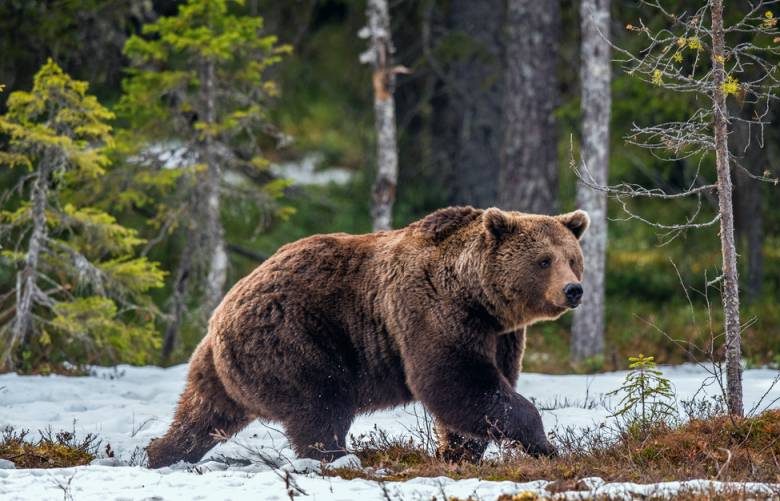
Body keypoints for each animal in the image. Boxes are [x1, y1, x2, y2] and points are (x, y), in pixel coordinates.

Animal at [146, 205, 588, 466]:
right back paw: (337, 457)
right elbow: (457, 382)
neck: (477, 296)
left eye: (572, 258)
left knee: (202, 412)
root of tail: (222, 309)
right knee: (321, 403)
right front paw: (544, 443)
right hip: (296, 339)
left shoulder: (499, 335)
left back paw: (162, 452)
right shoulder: (432, 313)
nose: (574, 290)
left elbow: (483, 390)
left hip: (220, 366)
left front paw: (458, 451)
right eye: (543, 260)